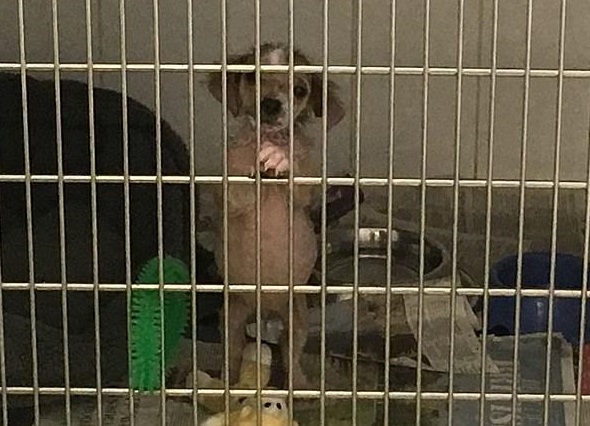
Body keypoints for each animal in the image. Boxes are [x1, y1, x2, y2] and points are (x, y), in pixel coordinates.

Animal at [207, 43, 345, 389]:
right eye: (252, 77)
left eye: (300, 90)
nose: (270, 104)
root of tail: (265, 311)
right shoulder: (233, 196)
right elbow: (237, 175)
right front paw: (250, 156)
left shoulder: (304, 192)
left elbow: (298, 170)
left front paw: (280, 157)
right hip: (232, 317)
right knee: (233, 353)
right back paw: (226, 384)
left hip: (296, 319)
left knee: (290, 356)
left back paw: (299, 386)